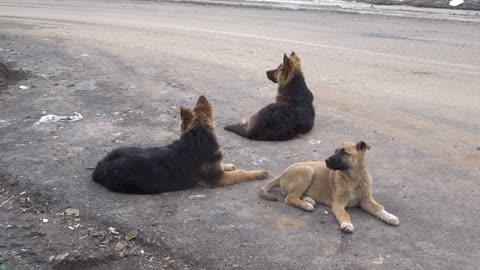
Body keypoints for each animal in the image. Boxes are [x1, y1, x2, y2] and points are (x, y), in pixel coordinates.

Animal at [260, 142, 400, 233]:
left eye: (344, 152)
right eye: (335, 151)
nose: (326, 160)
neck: (354, 178)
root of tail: (282, 173)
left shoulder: (366, 200)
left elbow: (378, 208)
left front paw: (390, 217)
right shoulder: (338, 203)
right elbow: (344, 214)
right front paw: (347, 225)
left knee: (292, 195)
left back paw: (308, 199)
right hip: (308, 170)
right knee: (289, 198)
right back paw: (306, 205)